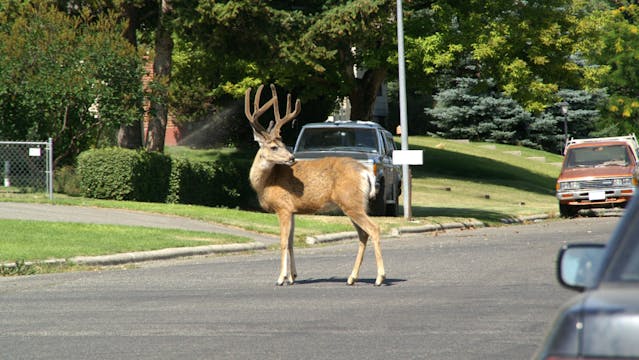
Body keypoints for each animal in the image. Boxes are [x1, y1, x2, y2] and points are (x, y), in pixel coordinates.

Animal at [245, 84, 384, 286]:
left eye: (284, 144)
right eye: (274, 147)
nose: (291, 158)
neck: (266, 182)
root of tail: (366, 172)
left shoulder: (283, 207)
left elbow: (283, 242)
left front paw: (281, 278)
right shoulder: (292, 210)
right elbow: (291, 242)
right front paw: (293, 277)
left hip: (351, 202)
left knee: (374, 229)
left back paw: (380, 278)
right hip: (356, 204)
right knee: (363, 234)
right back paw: (352, 278)